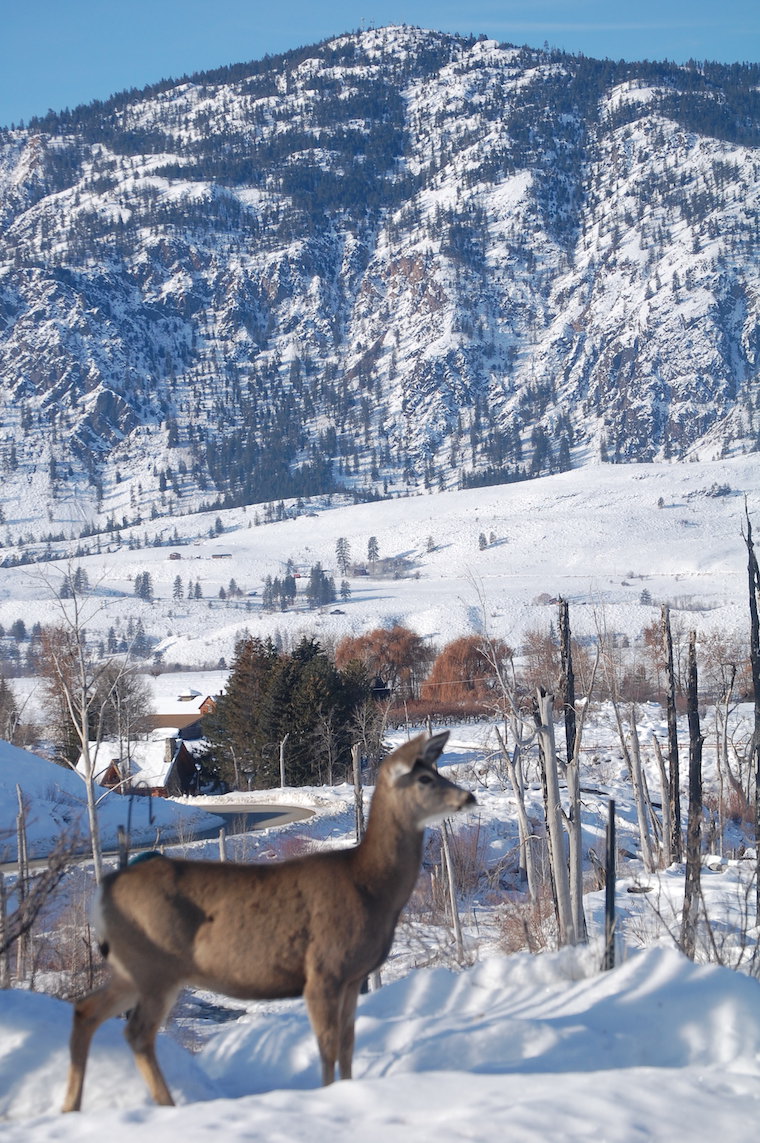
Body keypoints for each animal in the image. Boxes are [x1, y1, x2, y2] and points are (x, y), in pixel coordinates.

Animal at [61, 730, 475, 1111]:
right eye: (425, 779)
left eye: (437, 770)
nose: (468, 797)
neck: (370, 887)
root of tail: (103, 891)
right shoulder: (323, 969)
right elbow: (327, 1046)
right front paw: (329, 1098)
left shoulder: (352, 977)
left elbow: (347, 1045)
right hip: (155, 965)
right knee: (137, 1033)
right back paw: (167, 1106)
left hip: (131, 968)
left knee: (86, 1011)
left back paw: (72, 1107)